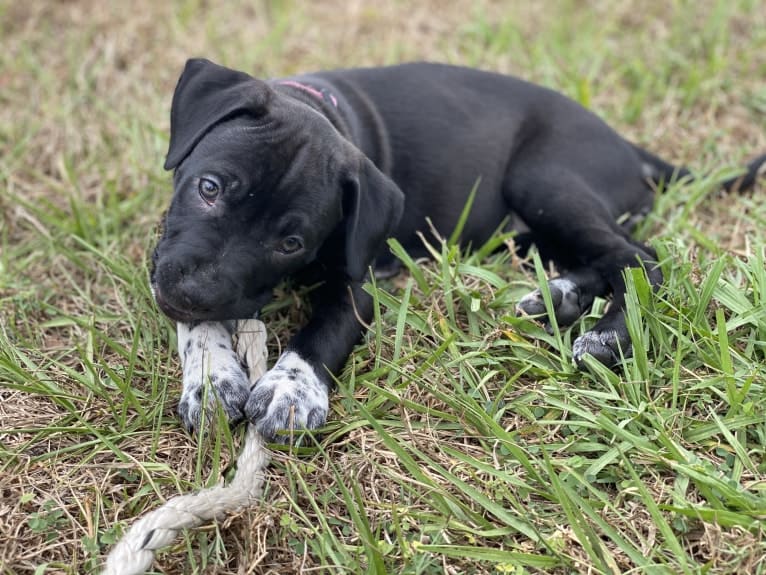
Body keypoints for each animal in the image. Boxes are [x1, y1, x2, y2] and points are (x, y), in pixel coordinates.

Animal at [148, 59, 760, 440]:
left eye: (291, 243)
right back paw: (557, 299)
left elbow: (322, 331)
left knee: (637, 258)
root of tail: (629, 148)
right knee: (602, 256)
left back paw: (607, 337)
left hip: (544, 181)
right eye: (209, 188)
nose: (198, 293)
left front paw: (289, 389)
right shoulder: (171, 265)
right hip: (529, 226)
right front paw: (211, 375)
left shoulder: (356, 282)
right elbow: (192, 322)